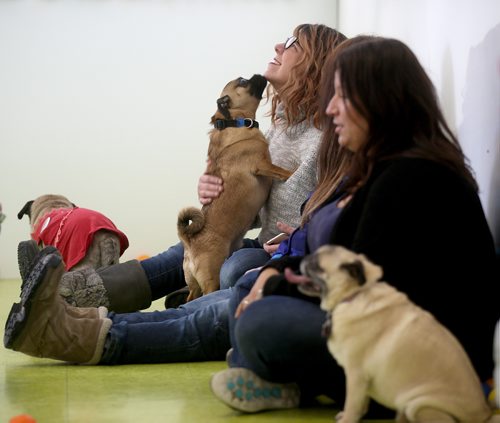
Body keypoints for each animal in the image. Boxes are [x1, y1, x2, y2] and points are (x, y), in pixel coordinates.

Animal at [177, 75, 292, 302]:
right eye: (242, 81)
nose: (259, 74)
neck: (235, 122)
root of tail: (190, 241)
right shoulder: (263, 165)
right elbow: (283, 171)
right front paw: (293, 172)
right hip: (212, 279)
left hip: (194, 285)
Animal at [294, 245, 494, 423]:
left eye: (316, 265)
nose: (305, 257)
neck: (355, 294)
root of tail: (484, 415)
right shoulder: (361, 384)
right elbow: (362, 404)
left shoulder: (356, 375)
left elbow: (352, 405)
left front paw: (347, 420)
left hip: (419, 405)